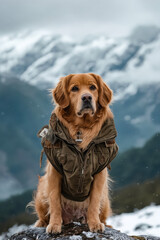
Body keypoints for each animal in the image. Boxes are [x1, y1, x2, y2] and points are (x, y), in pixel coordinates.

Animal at [32, 72, 118, 232]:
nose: (87, 97)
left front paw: (95, 223)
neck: (81, 129)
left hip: (105, 199)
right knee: (43, 213)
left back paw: (104, 222)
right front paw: (54, 225)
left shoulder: (100, 173)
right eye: (74, 88)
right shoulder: (54, 172)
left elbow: (94, 201)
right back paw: (42, 223)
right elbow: (54, 202)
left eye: (93, 87)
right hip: (41, 193)